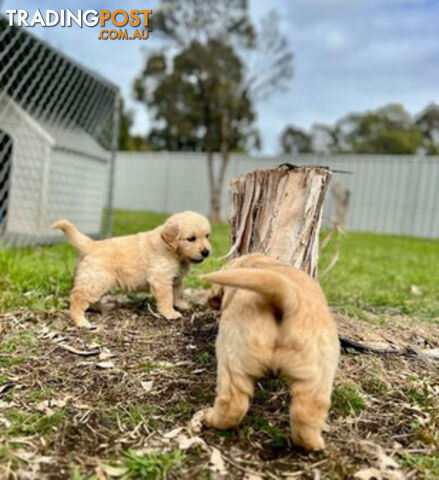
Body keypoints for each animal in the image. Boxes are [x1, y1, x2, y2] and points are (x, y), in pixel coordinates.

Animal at [53, 211, 211, 328]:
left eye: (207, 236)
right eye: (191, 239)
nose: (206, 252)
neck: (172, 251)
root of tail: (91, 244)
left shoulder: (176, 279)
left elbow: (178, 293)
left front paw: (182, 305)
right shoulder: (161, 279)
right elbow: (167, 297)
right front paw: (169, 313)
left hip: (96, 280)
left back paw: (102, 308)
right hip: (96, 280)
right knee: (77, 297)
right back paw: (81, 321)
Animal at [203, 253, 340, 452]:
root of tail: (289, 299)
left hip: (231, 353)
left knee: (232, 404)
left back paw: (211, 418)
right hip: (319, 370)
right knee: (308, 412)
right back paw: (313, 444)